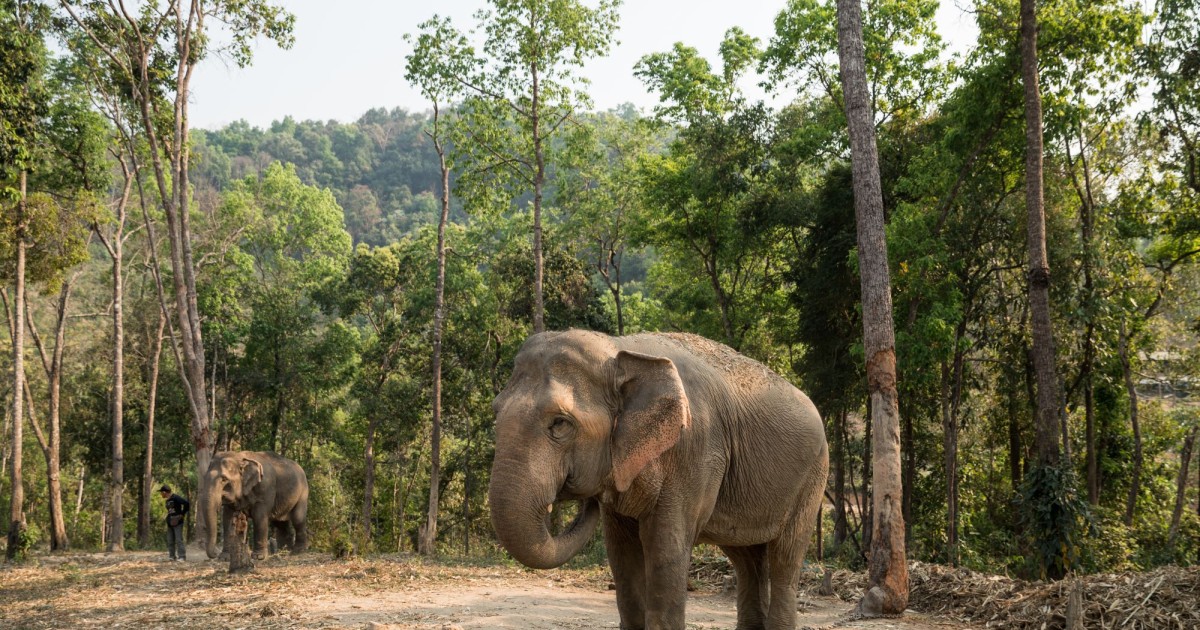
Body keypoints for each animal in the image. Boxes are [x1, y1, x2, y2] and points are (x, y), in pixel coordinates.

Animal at [487, 328, 825, 628]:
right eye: (496, 413)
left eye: (559, 423)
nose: (587, 502)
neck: (619, 349)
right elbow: (622, 555)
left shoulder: (695, 453)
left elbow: (666, 548)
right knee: (747, 559)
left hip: (812, 480)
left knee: (784, 559)